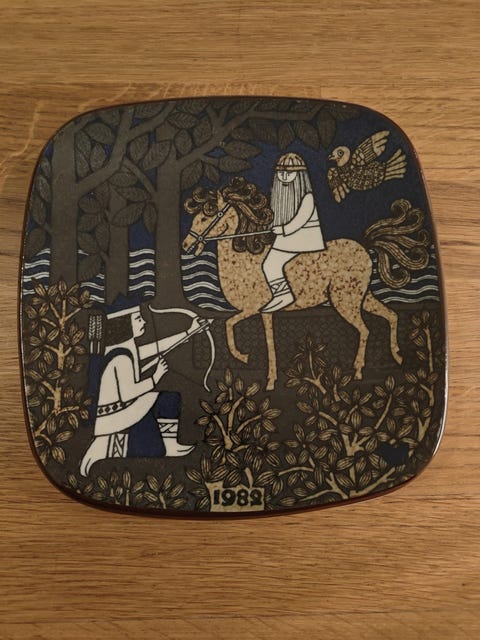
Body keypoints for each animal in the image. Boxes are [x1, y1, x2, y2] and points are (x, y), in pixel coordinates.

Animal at [182, 177, 430, 390]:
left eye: (205, 217)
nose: (186, 245)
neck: (245, 261)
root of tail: (365, 247)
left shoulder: (257, 308)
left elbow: (231, 325)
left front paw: (246, 360)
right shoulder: (264, 312)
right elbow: (259, 338)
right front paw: (266, 375)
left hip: (344, 300)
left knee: (365, 329)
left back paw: (359, 371)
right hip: (361, 296)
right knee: (392, 316)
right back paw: (397, 355)